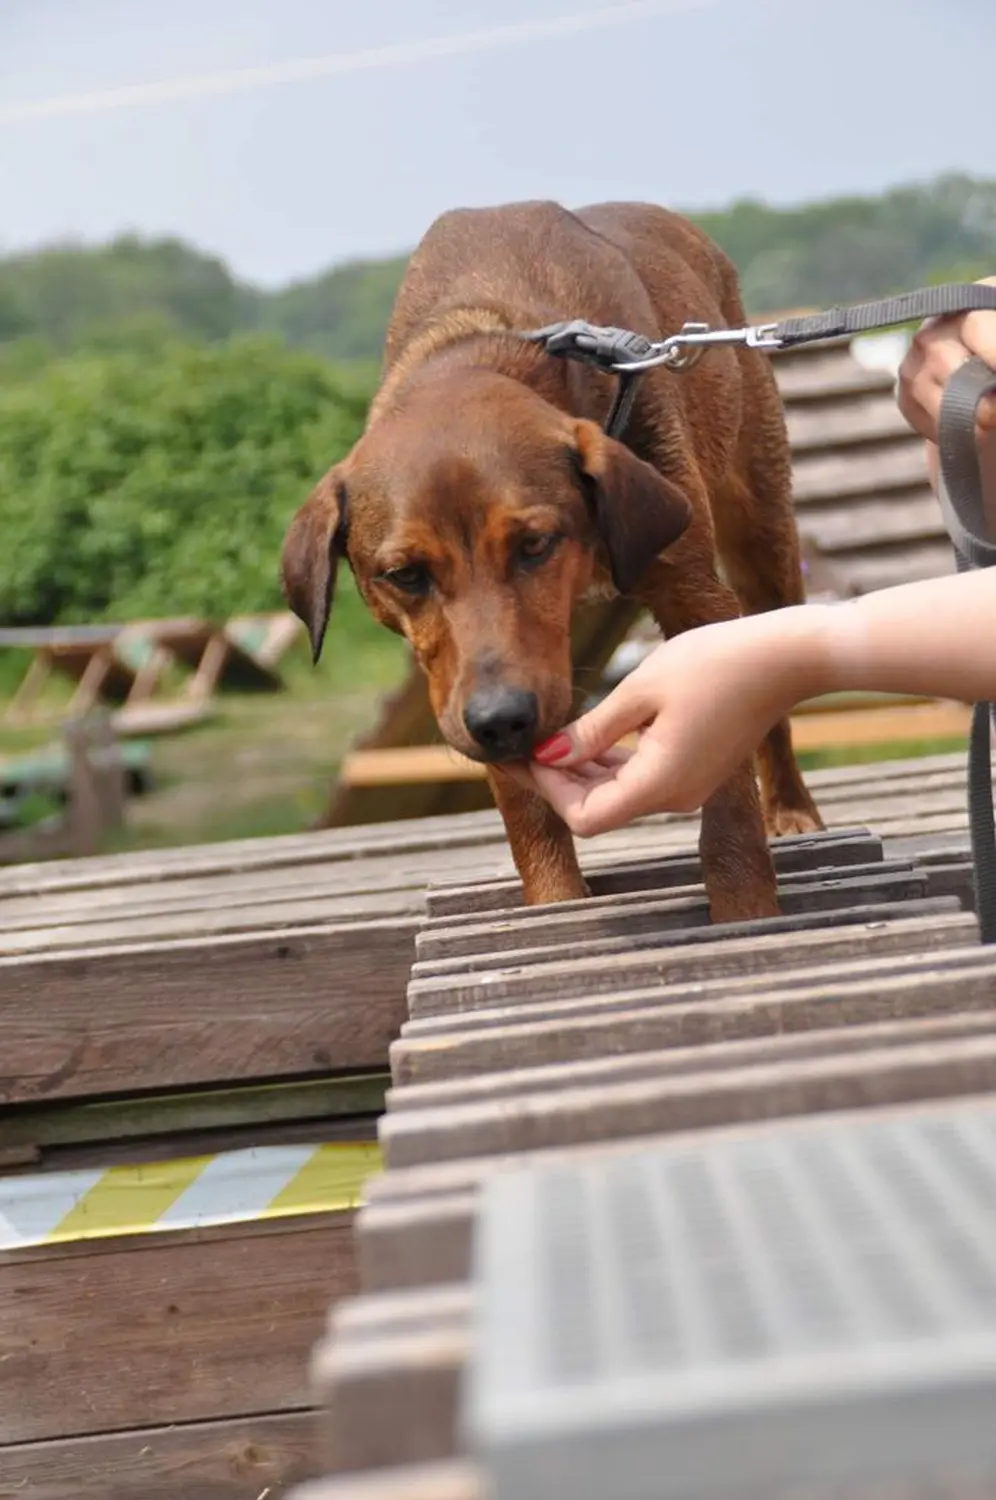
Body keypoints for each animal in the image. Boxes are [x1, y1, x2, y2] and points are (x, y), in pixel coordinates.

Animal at [282, 199, 822, 918]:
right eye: (405, 576)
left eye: (534, 544)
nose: (501, 720)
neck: (483, 341)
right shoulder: (465, 679)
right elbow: (529, 814)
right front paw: (556, 903)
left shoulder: (694, 597)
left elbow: (725, 784)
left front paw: (745, 909)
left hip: (762, 532)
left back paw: (790, 809)